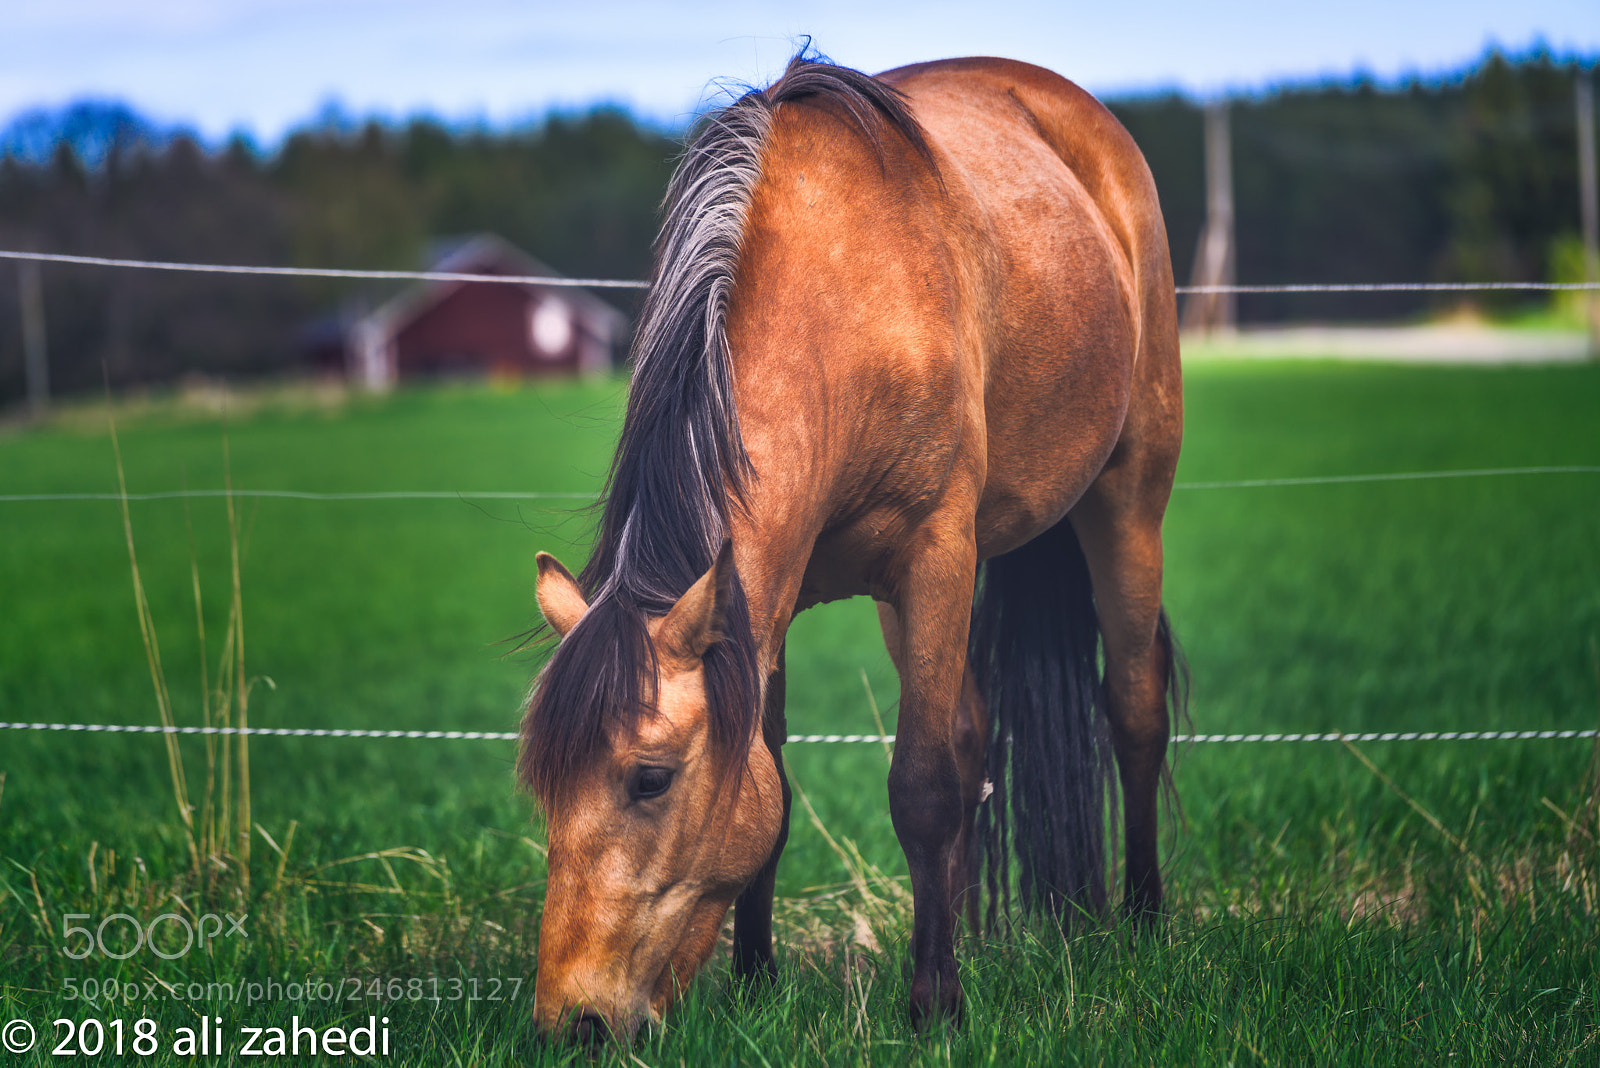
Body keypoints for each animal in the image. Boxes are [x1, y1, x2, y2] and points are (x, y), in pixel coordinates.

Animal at [521, 52, 1185, 1042]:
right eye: (543, 784)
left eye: (649, 779)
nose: (573, 1025)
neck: (841, 302)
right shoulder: (764, 598)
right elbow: (778, 788)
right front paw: (758, 982)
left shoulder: (936, 553)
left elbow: (922, 786)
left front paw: (935, 1006)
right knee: (974, 736)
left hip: (1128, 496)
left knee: (1133, 708)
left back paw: (1142, 920)